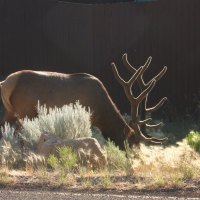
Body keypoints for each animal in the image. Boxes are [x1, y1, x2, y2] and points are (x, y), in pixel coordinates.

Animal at [0, 53, 167, 150]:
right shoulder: (88, 116)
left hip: (10, 111)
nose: (132, 162)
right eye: (131, 143)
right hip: (25, 111)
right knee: (19, 135)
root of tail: (7, 83)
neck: (102, 112)